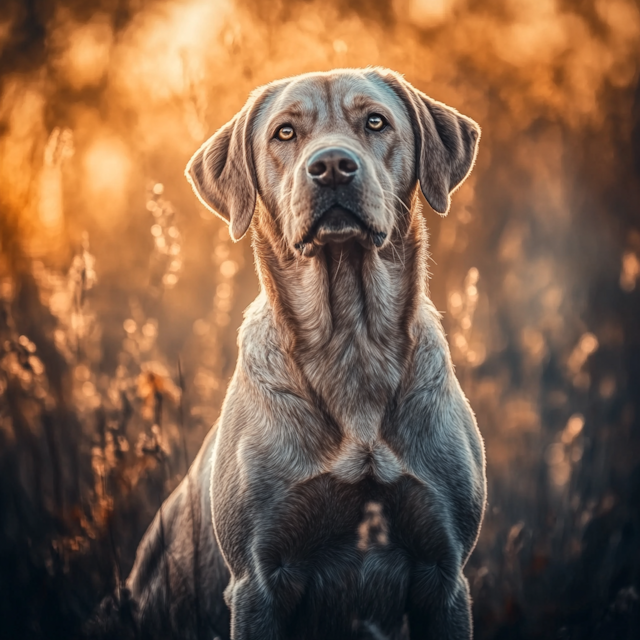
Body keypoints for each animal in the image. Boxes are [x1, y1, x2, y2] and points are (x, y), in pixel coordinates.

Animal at [124, 67, 484, 636]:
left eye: (375, 122)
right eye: (285, 133)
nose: (332, 166)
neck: (351, 345)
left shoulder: (444, 575)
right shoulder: (258, 581)